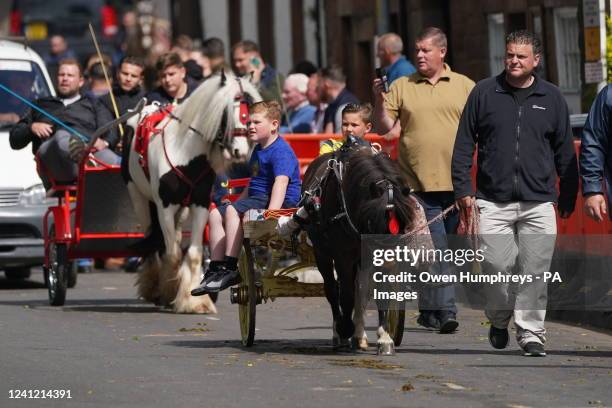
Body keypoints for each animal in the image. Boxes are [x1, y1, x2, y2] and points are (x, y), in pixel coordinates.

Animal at [126, 72, 260, 312]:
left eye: (251, 113)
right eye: (227, 112)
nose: (241, 151)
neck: (185, 154)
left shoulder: (200, 204)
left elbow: (195, 253)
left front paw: (195, 300)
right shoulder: (165, 207)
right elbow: (171, 253)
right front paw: (169, 291)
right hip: (140, 199)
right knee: (153, 244)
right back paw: (153, 287)